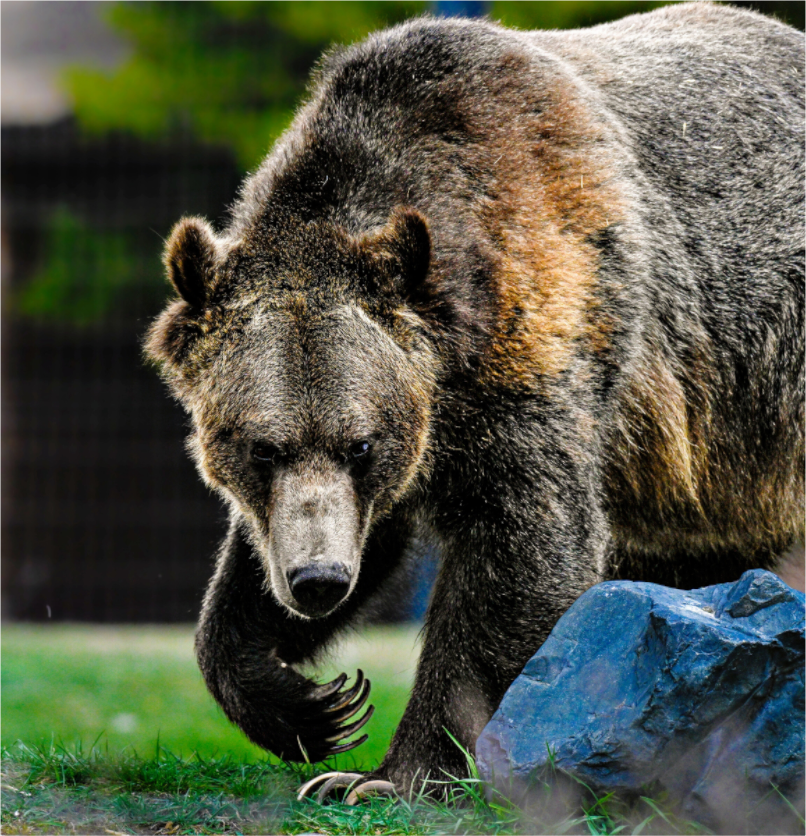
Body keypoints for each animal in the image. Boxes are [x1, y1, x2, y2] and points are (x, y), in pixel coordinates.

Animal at [146, 1, 806, 800]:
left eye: (361, 443)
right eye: (261, 447)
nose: (318, 581)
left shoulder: (543, 338)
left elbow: (521, 550)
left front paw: (390, 774)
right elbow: (284, 555)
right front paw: (306, 706)